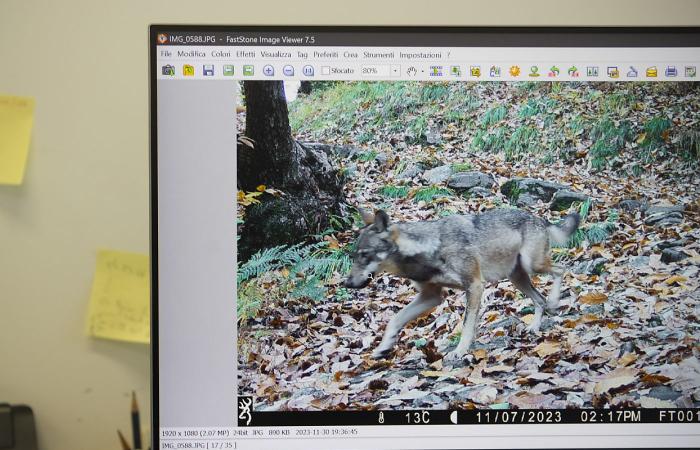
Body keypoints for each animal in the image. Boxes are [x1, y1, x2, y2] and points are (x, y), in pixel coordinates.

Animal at [344, 208, 580, 362]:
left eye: (364, 255)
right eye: (354, 256)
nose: (347, 283)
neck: (429, 249)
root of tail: (540, 218)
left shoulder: (474, 286)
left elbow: (466, 325)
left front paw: (459, 351)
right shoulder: (431, 297)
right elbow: (394, 320)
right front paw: (383, 347)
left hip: (533, 266)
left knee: (561, 270)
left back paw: (554, 302)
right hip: (518, 278)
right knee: (539, 299)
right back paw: (535, 326)